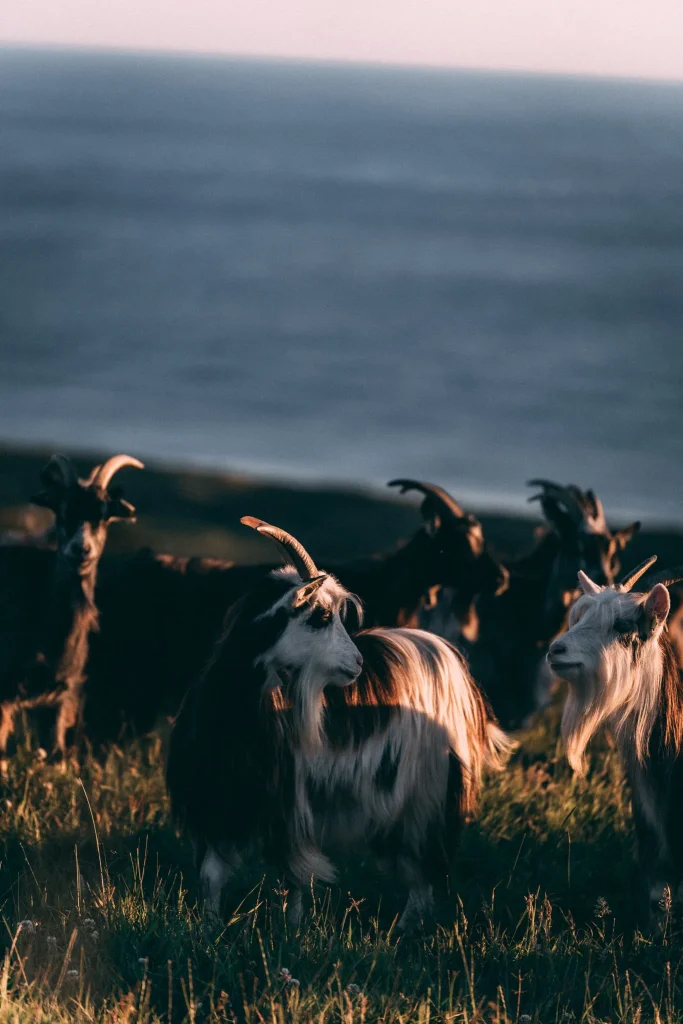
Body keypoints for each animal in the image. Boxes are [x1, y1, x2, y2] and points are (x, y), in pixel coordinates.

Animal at [167, 520, 516, 929]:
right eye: (320, 617)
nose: (359, 663)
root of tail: (448, 657)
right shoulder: (215, 803)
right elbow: (212, 877)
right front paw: (207, 929)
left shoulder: (290, 809)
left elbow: (293, 879)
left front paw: (291, 931)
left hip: (426, 797)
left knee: (423, 867)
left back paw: (406, 927)